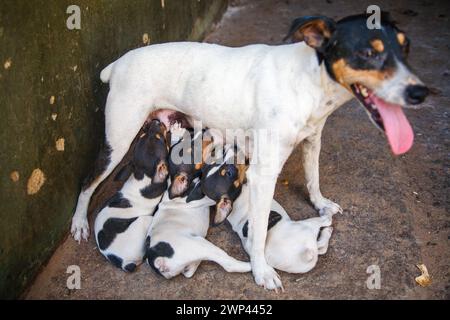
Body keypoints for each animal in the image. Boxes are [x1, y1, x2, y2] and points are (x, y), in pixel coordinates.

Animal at [94, 120, 170, 272]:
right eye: (161, 138)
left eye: (143, 134)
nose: (156, 121)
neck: (141, 175)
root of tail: (124, 263)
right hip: (145, 220)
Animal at [146, 132, 250, 278]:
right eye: (229, 173)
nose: (233, 146)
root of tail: (156, 261)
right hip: (201, 245)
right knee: (228, 263)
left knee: (189, 271)